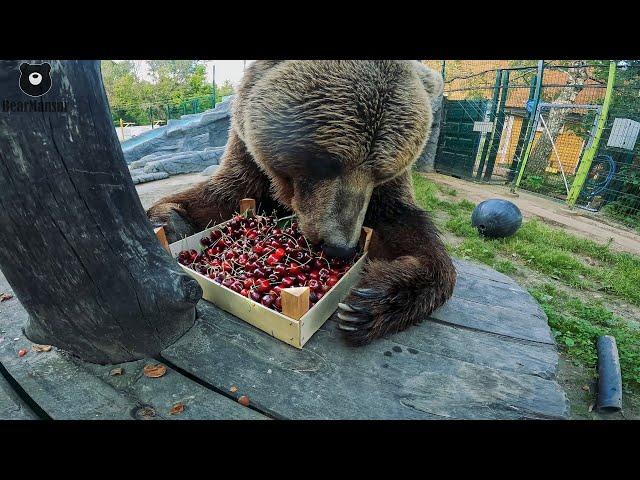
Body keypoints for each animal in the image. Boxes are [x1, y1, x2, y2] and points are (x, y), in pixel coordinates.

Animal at [146, 60, 456, 344]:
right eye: (326, 162)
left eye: (381, 173)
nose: (340, 247)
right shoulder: (249, 158)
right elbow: (220, 194)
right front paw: (168, 222)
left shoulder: (385, 195)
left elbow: (408, 231)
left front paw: (368, 302)